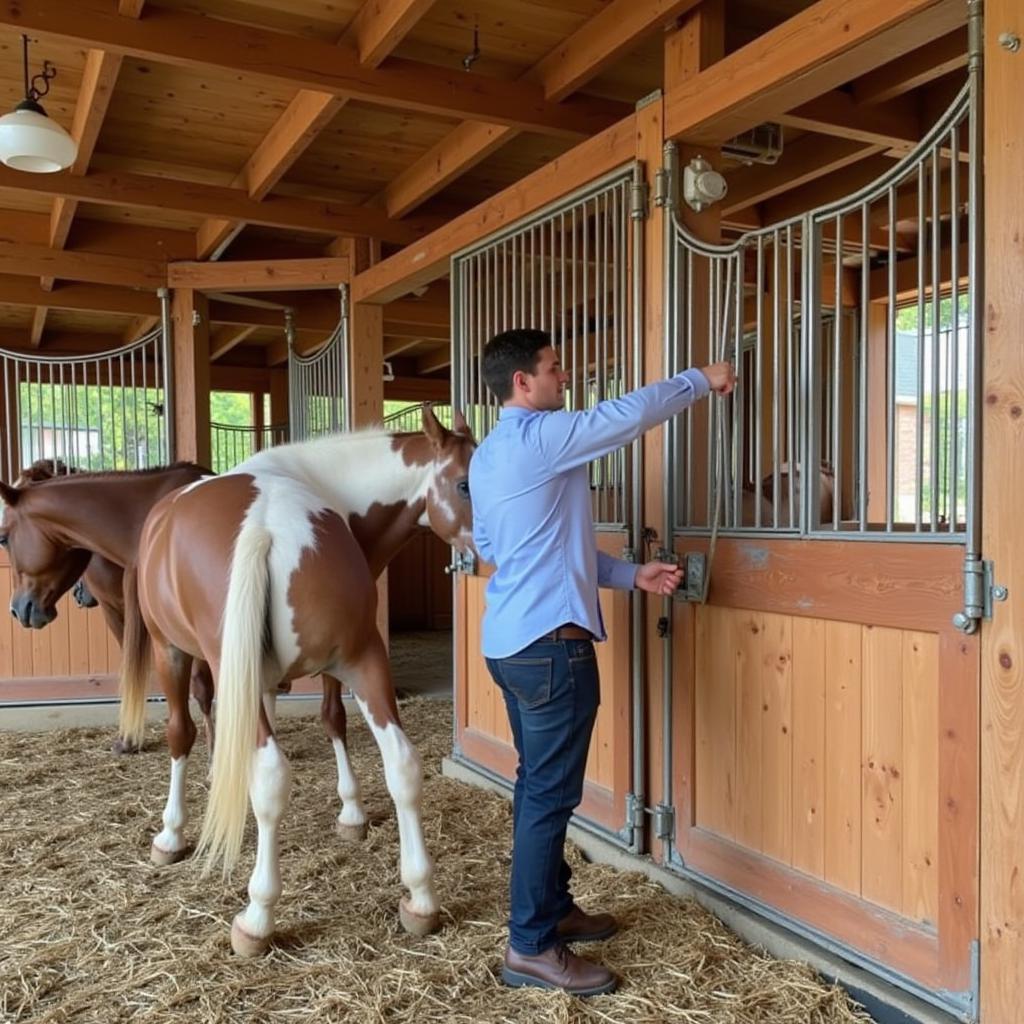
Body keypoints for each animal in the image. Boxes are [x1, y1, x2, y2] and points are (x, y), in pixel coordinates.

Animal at [117, 405, 473, 950]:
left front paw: (171, 835)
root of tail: (269, 525)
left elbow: (183, 735)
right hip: (362, 658)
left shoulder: (172, 652)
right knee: (402, 764)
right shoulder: (288, 674)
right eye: (465, 483)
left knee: (267, 773)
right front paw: (351, 814)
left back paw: (257, 916)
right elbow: (329, 720)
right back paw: (420, 899)